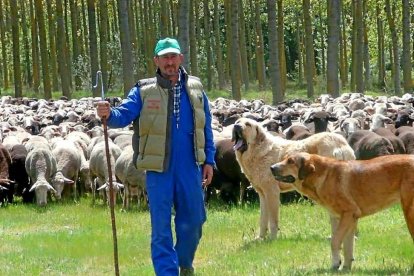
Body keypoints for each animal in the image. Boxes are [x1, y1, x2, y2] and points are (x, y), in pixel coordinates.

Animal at [272, 154, 414, 270]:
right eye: (285, 158)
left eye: (291, 161)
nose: (271, 167)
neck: (323, 175)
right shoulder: (346, 218)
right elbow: (347, 246)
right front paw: (346, 267)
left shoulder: (348, 213)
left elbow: (335, 241)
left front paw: (336, 264)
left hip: (409, 213)